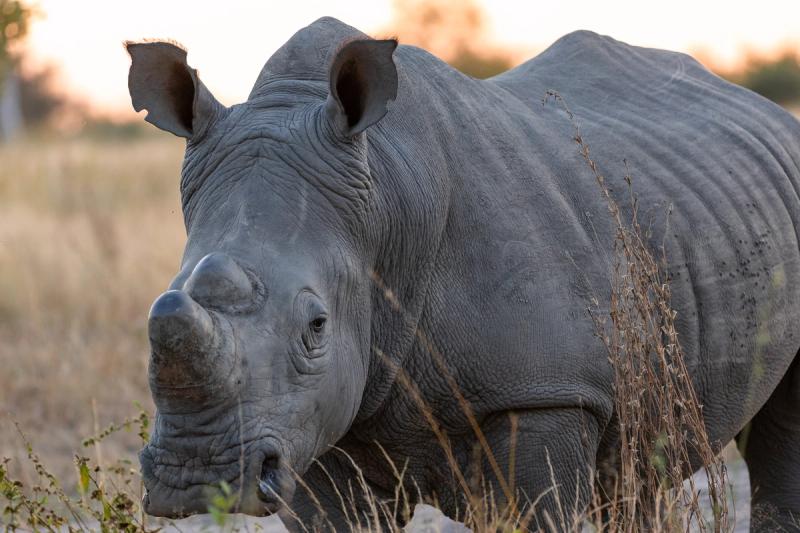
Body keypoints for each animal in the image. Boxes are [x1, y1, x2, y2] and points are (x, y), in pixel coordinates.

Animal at [127, 17, 800, 532]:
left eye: (316, 326)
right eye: (157, 310)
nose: (197, 479)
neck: (387, 200)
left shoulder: (544, 392)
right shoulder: (308, 426)